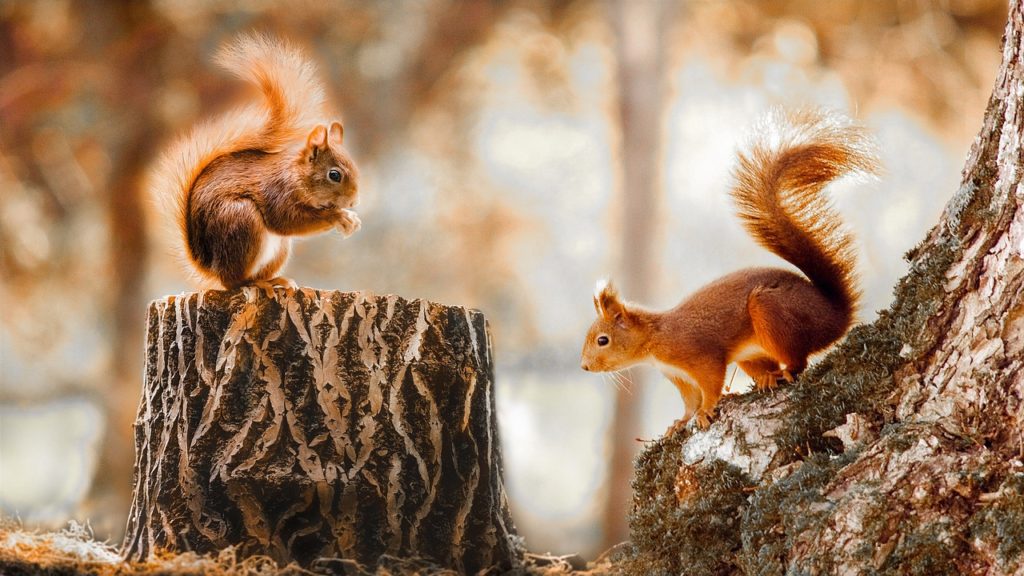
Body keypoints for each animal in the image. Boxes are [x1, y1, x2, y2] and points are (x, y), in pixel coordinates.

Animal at [151, 33, 360, 289]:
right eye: (334, 175)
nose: (353, 202)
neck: (296, 175)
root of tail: (212, 266)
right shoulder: (277, 192)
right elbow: (286, 221)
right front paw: (338, 216)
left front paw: (351, 218)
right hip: (242, 220)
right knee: (234, 282)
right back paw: (257, 285)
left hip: (279, 247)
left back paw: (274, 280)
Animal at [585, 108, 880, 430]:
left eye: (603, 340)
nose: (585, 366)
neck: (655, 338)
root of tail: (836, 316)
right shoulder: (678, 375)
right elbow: (689, 400)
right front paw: (680, 422)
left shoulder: (698, 356)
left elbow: (710, 384)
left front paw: (705, 411)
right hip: (750, 353)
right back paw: (766, 377)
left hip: (772, 311)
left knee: (798, 360)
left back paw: (783, 372)